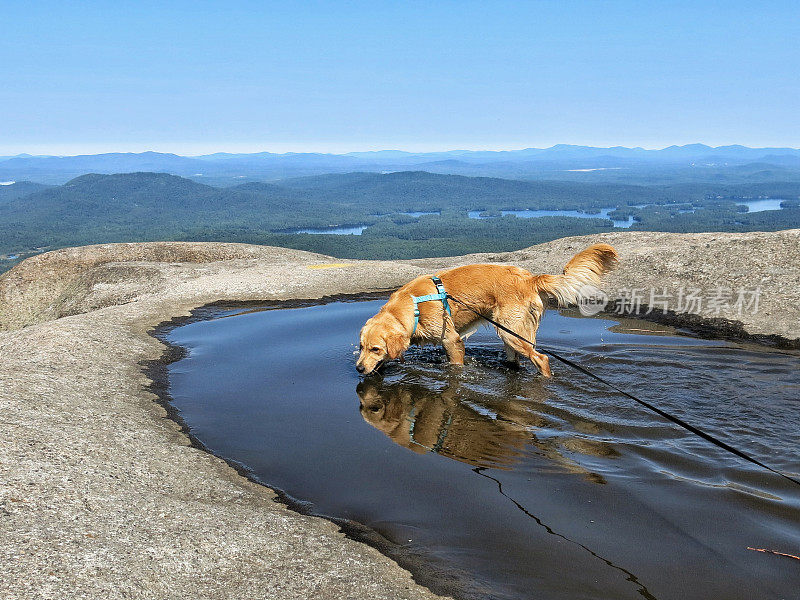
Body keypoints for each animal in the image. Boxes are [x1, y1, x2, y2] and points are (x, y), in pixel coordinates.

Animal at [356, 243, 620, 376]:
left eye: (376, 349)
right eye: (361, 347)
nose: (358, 368)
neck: (413, 307)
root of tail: (529, 278)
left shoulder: (451, 340)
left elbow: (455, 364)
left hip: (512, 333)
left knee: (542, 359)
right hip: (509, 335)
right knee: (516, 361)